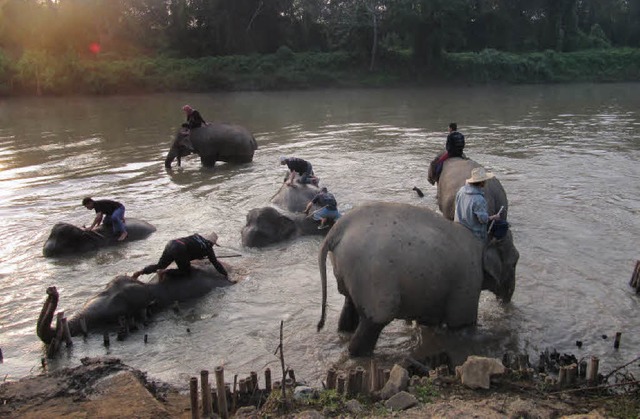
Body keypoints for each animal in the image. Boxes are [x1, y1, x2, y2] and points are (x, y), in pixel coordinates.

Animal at [316, 203, 520, 358]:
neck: (484, 240)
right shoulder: (468, 281)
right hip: (375, 278)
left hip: (349, 271)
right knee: (373, 322)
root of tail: (336, 231)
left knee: (349, 307)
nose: (506, 305)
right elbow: (461, 325)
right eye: (515, 262)